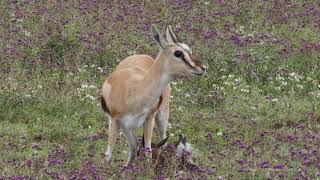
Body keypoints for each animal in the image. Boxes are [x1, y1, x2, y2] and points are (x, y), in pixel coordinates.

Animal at [101, 24, 205, 165]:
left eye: (189, 49)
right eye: (178, 53)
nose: (202, 68)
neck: (134, 93)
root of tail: (143, 56)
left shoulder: (149, 119)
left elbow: (148, 152)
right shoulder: (115, 120)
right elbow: (108, 155)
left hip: (161, 116)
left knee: (161, 142)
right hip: (127, 128)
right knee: (134, 148)